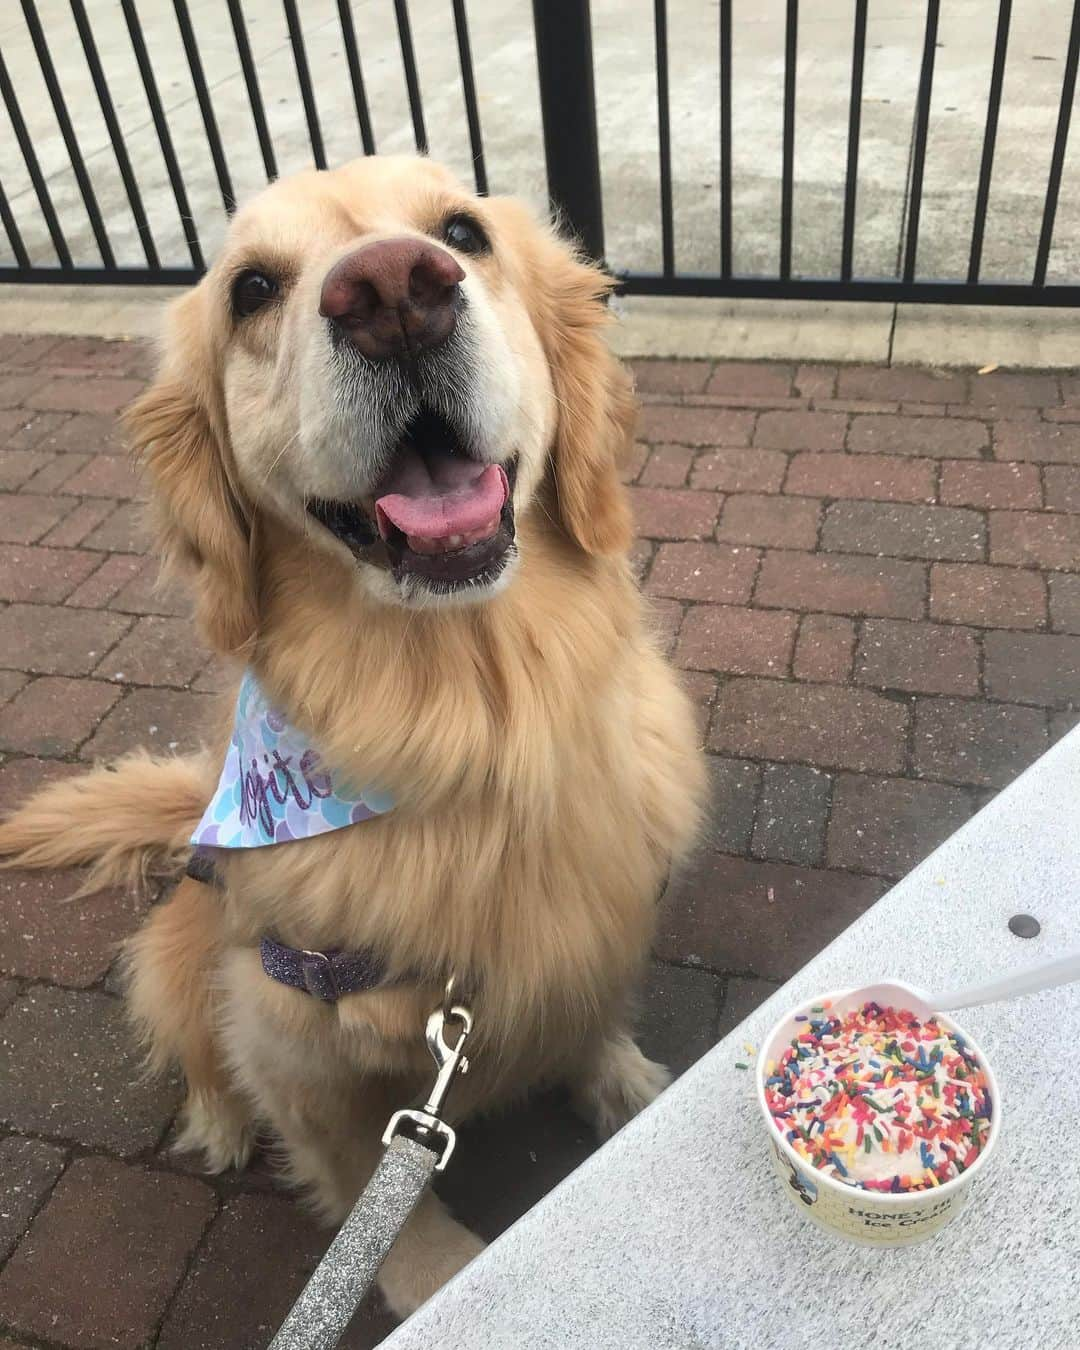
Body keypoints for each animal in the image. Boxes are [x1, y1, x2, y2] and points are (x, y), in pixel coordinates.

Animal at [0, 155, 702, 1317]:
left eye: (462, 232)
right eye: (250, 290)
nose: (393, 293)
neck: (473, 727)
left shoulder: (599, 919)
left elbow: (593, 1015)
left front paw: (625, 1083)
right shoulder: (299, 1043)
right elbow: (381, 1193)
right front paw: (437, 1278)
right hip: (194, 953)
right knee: (189, 1030)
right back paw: (218, 1120)